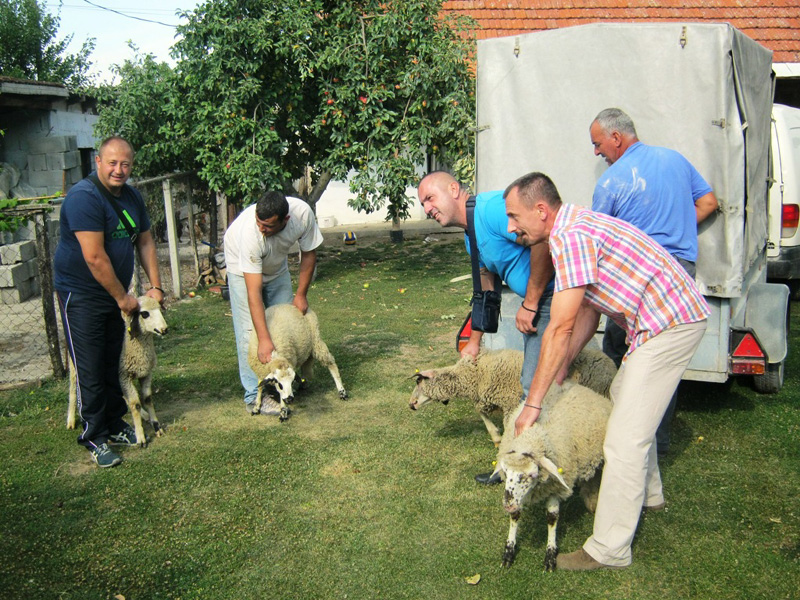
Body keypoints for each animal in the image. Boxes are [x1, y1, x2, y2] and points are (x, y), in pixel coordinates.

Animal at [67, 296, 169, 446]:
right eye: (144, 314)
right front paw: (140, 437)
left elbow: (147, 399)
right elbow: (135, 404)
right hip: (75, 364)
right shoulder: (124, 376)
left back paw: (143, 415)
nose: (164, 329)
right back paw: (70, 421)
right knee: (73, 390)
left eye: (160, 309)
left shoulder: (145, 373)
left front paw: (156, 426)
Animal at [410, 346, 616, 446]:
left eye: (419, 382)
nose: (411, 404)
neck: (471, 375)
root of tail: (610, 364)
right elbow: (480, 412)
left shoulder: (509, 401)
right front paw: (495, 435)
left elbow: (508, 423)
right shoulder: (488, 399)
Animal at [494, 380, 612, 572]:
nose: (507, 505)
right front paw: (509, 552)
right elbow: (515, 516)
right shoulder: (516, 494)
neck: (530, 437)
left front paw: (550, 555)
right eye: (505, 470)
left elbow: (552, 518)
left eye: (532, 474)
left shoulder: (555, 487)